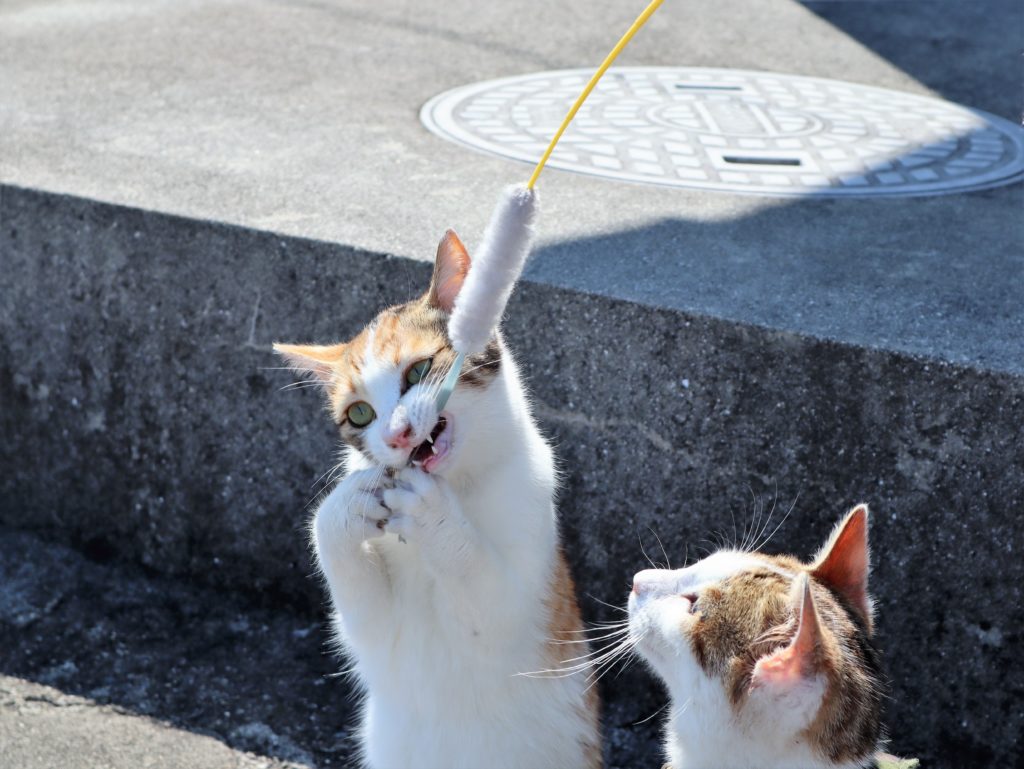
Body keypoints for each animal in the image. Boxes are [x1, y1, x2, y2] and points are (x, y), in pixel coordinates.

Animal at [276, 230, 602, 769]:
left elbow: (485, 594)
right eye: (360, 413)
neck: (458, 481)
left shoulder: (520, 597)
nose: (399, 434)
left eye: (419, 370)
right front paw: (347, 504)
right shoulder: (380, 633)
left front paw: (434, 517)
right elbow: (360, 610)